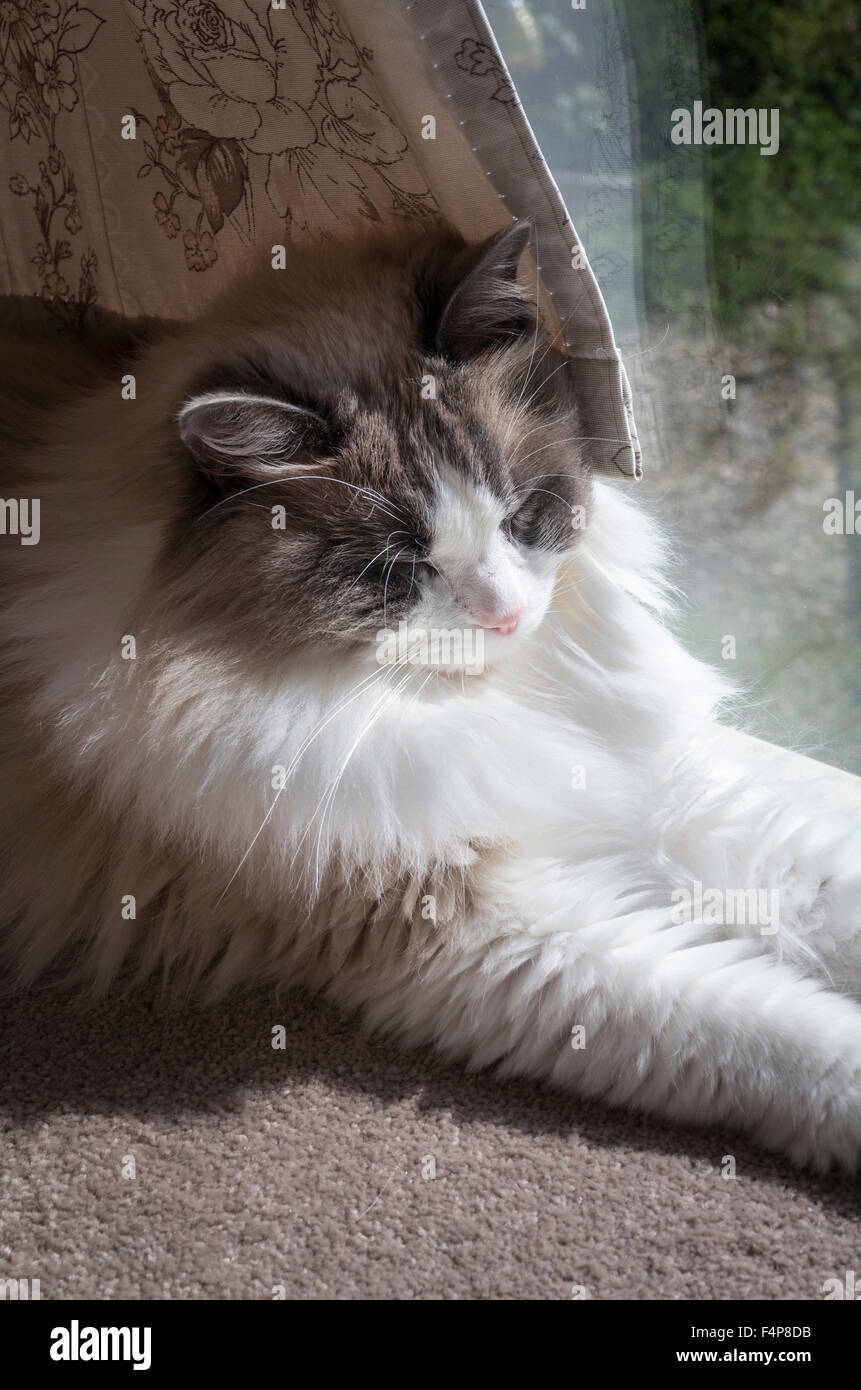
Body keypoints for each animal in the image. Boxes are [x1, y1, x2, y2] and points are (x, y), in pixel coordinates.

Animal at [1, 219, 861, 1173]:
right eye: (399, 573)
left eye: (522, 518)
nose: (505, 615)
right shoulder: (472, 927)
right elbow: (788, 1040)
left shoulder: (655, 789)